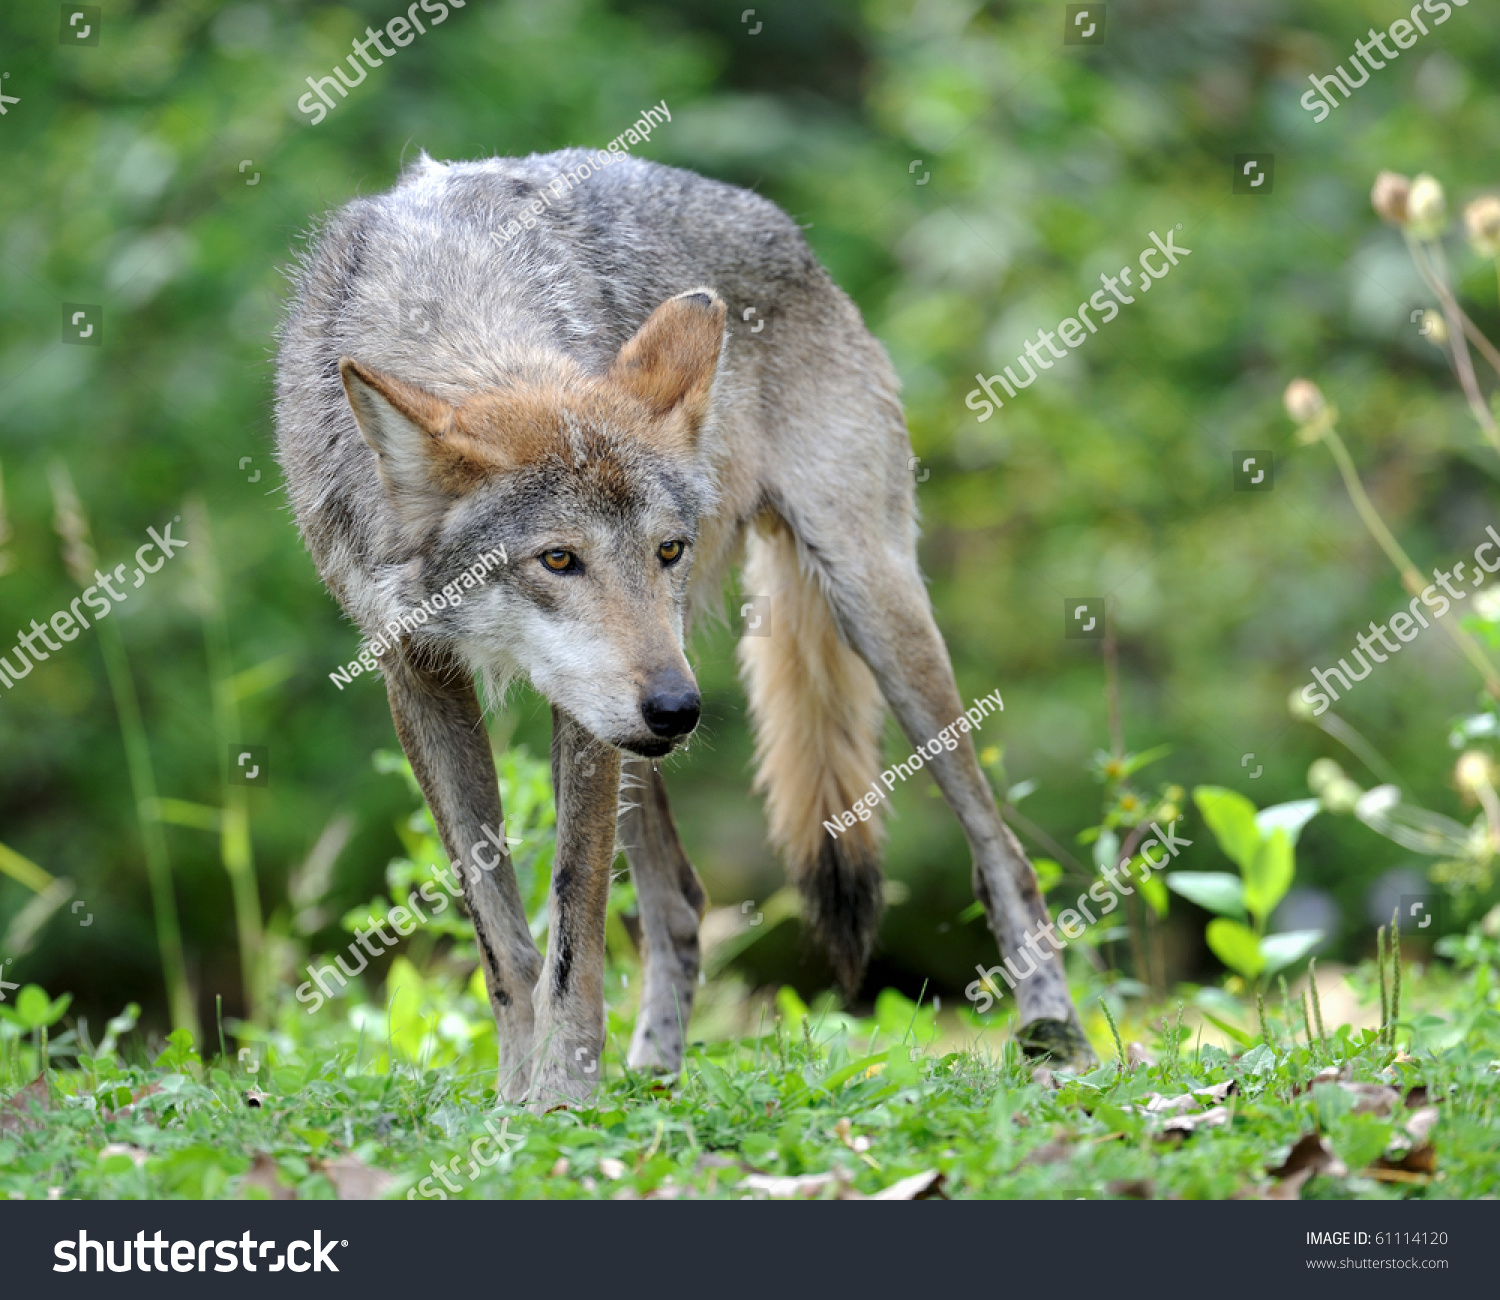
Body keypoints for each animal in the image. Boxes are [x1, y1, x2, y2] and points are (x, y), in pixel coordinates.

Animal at [276, 152, 1092, 1109]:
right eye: (558, 560)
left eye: (666, 549)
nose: (679, 710)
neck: (455, 300)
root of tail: (788, 234)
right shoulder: (418, 673)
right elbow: (504, 940)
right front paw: (517, 1101)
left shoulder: (584, 724)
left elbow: (574, 927)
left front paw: (561, 1101)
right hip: (648, 723)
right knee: (681, 904)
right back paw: (653, 1071)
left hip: (870, 610)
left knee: (1004, 853)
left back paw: (1054, 1032)